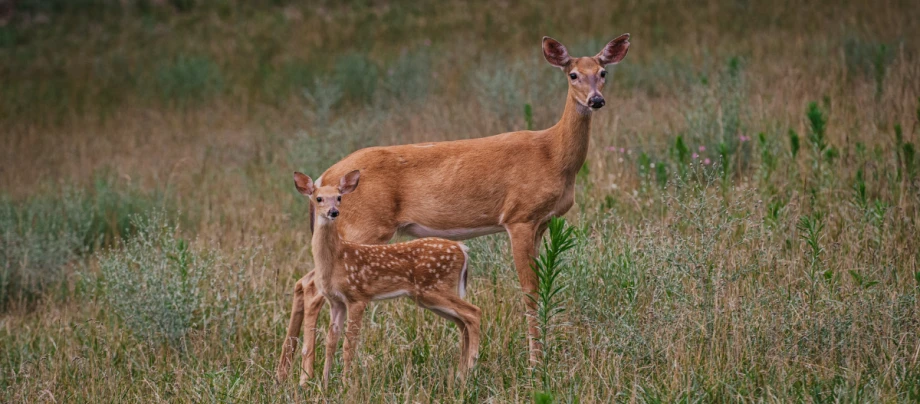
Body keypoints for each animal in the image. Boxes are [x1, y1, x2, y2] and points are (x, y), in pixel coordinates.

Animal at [312, 33, 628, 358]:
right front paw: (535, 361)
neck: (553, 155)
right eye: (573, 74)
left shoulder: (541, 222)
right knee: (311, 286)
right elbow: (529, 290)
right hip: (363, 226)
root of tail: (325, 176)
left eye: (603, 72)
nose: (596, 100)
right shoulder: (519, 216)